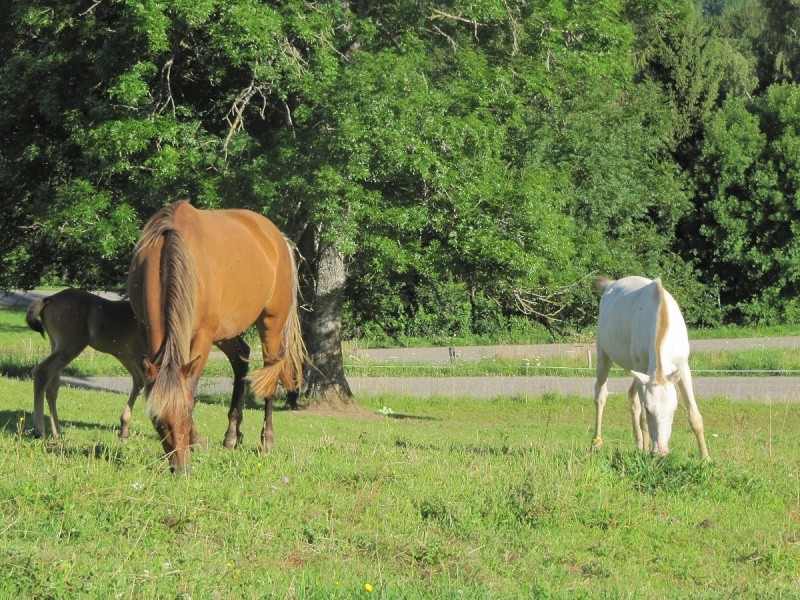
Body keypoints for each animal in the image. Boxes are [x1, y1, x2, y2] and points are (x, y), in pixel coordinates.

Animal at [26, 288, 250, 442]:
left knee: (53, 384)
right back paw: (40, 430)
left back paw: (57, 432)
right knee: (42, 372)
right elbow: (147, 385)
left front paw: (124, 429)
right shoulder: (140, 357)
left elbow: (139, 382)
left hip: (57, 344)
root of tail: (48, 299)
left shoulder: (130, 357)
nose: (241, 345)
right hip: (70, 345)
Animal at [126, 202, 304, 474]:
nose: (181, 468)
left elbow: (191, 384)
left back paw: (266, 441)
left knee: (270, 375)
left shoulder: (203, 336)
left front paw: (195, 441)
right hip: (226, 330)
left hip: (271, 325)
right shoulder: (146, 329)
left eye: (190, 410)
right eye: (157, 419)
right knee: (241, 359)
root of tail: (277, 238)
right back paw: (232, 436)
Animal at [592, 276, 708, 460]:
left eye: (673, 410)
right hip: (604, 357)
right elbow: (643, 418)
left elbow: (695, 416)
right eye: (650, 409)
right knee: (600, 394)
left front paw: (706, 458)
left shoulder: (682, 367)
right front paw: (647, 454)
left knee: (631, 395)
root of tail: (609, 285)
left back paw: (639, 445)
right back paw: (597, 443)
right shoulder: (641, 367)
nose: (661, 450)